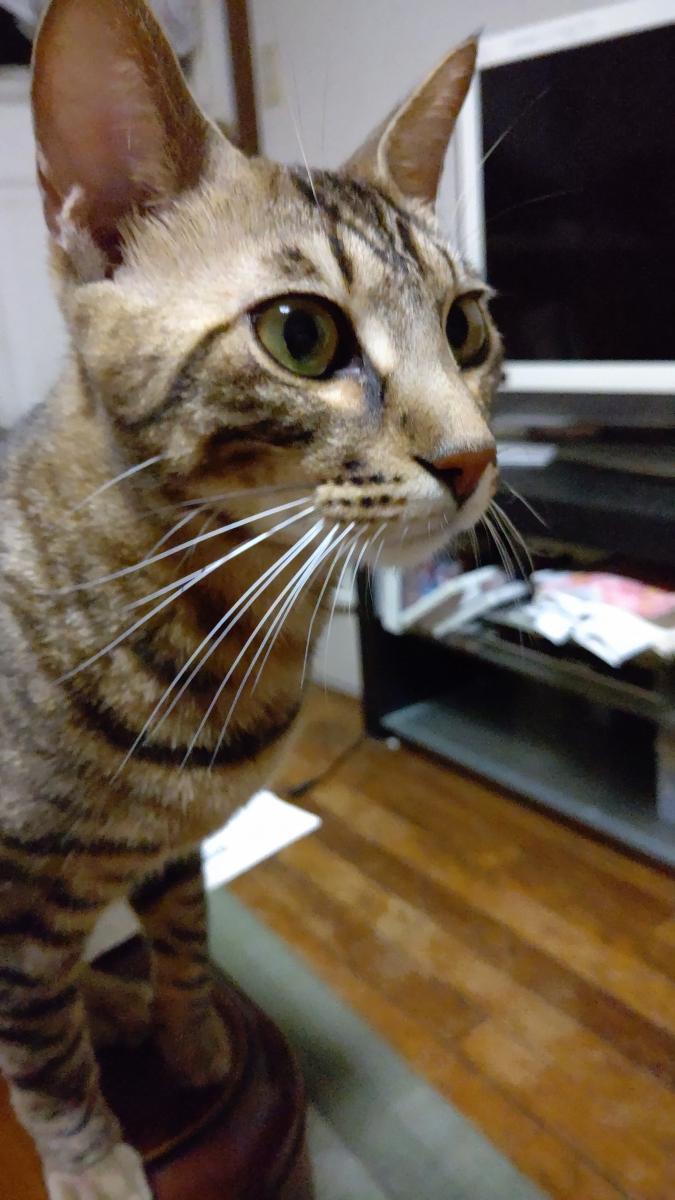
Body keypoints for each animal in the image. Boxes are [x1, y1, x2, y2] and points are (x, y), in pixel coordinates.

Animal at [0, 0, 501, 1197]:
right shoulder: (18, 904)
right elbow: (41, 1053)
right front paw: (89, 1158)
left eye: (466, 327)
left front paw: (188, 1039)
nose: (476, 457)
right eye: (301, 334)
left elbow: (187, 935)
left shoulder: (172, 854)